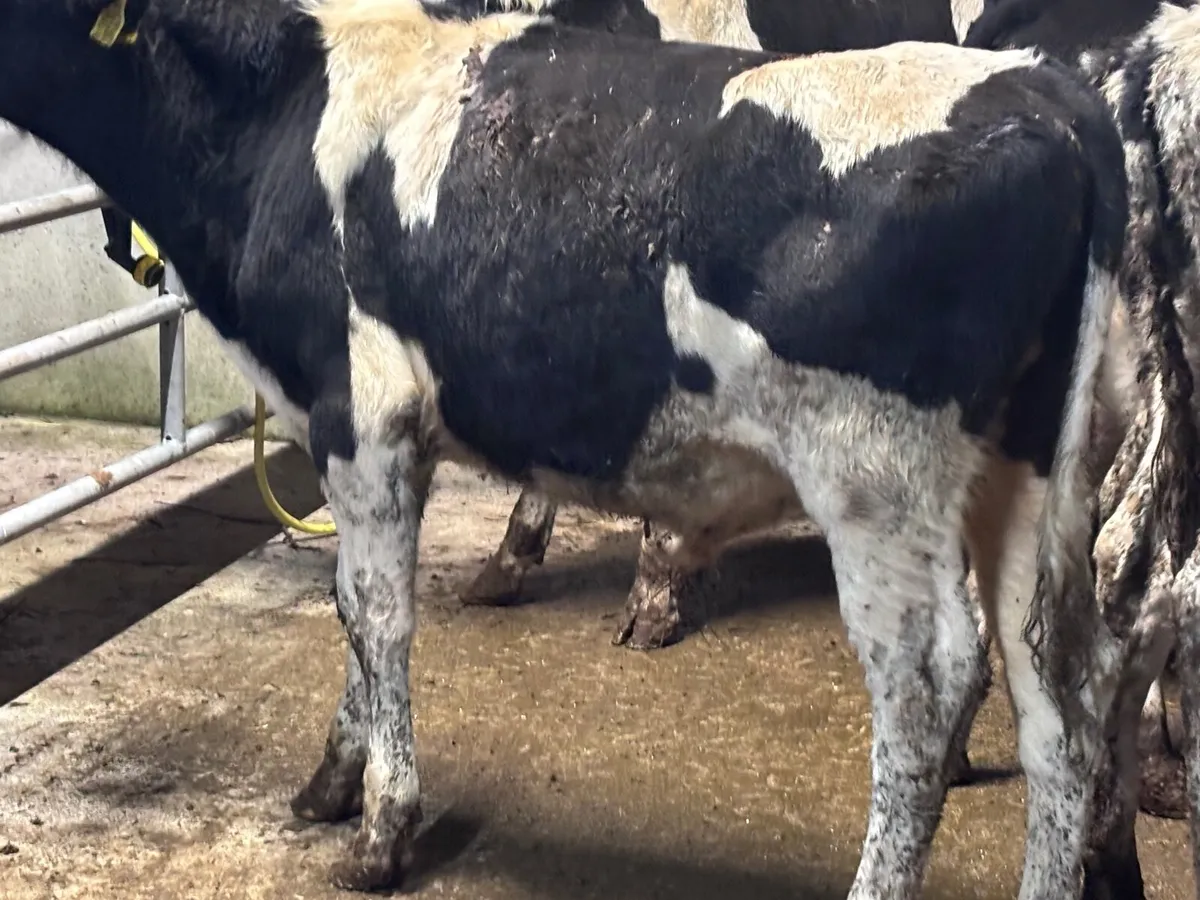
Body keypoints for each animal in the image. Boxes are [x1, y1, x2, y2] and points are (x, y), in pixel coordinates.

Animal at [0, 0, 1137, 895]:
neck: (278, 109)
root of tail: (1043, 95)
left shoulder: (362, 411)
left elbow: (376, 613)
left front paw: (380, 829)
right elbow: (354, 615)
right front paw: (334, 778)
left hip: (876, 480)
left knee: (930, 688)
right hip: (1027, 470)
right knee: (1058, 684)